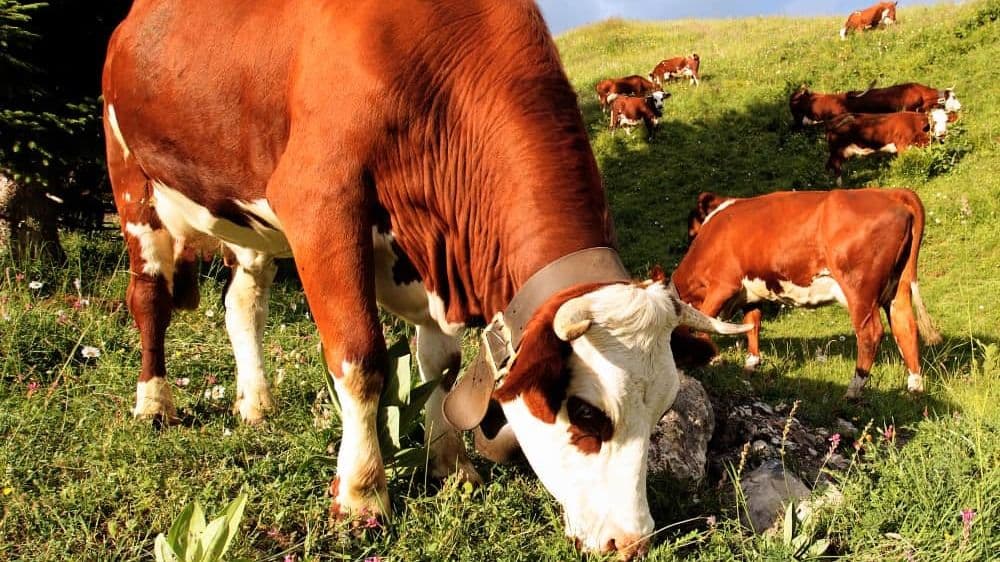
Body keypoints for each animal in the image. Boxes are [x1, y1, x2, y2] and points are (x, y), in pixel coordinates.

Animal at [103, 0, 749, 558]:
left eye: (663, 409)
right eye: (588, 414)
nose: (631, 542)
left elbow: (440, 365)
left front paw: (452, 466)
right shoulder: (318, 203)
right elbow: (360, 359)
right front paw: (362, 496)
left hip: (241, 209)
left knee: (243, 301)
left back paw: (255, 401)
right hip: (132, 177)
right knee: (149, 299)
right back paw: (154, 402)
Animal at [677, 188, 942, 399]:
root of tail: (890, 192)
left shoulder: (723, 285)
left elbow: (705, 322)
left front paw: (714, 359)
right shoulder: (750, 294)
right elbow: (752, 325)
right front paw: (751, 365)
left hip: (859, 289)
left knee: (871, 333)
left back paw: (852, 391)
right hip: (899, 287)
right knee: (905, 327)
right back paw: (914, 389)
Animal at [824, 109, 954, 185]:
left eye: (946, 121)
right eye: (934, 122)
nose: (942, 133)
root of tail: (833, 120)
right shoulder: (902, 146)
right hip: (837, 150)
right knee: (835, 167)